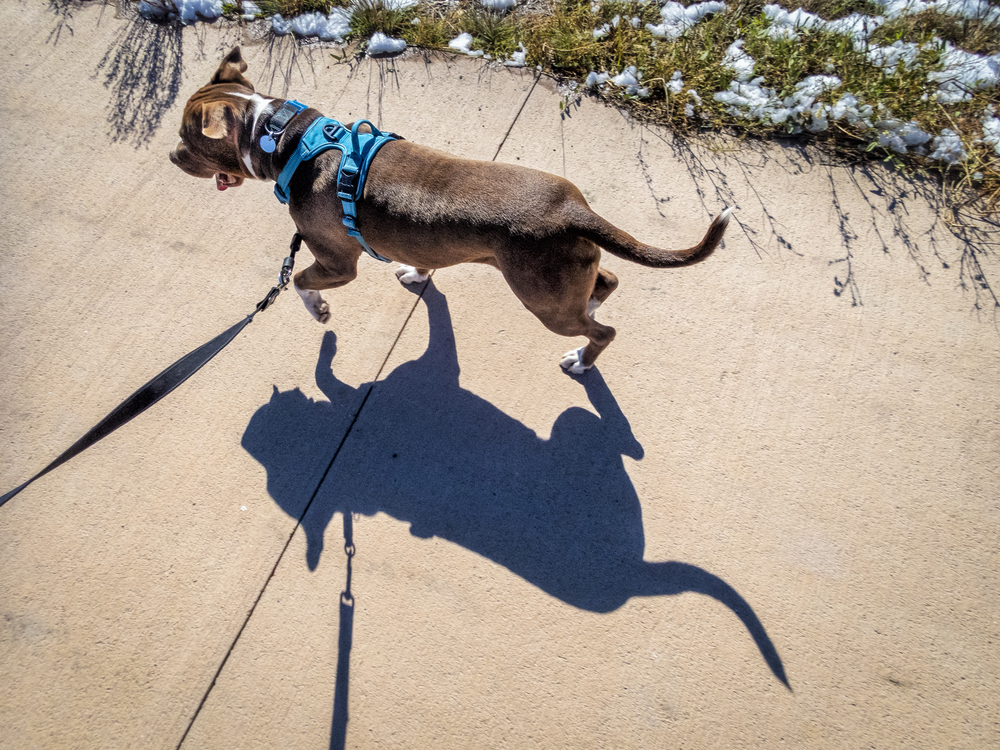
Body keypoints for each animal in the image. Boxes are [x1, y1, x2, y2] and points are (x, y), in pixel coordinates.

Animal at [172, 47, 732, 376]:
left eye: (188, 139)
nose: (171, 155)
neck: (284, 135)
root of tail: (573, 208)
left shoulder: (337, 263)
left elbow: (302, 284)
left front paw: (320, 311)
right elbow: (422, 262)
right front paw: (415, 276)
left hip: (542, 301)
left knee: (601, 331)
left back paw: (581, 359)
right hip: (566, 275)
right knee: (607, 282)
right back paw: (594, 303)